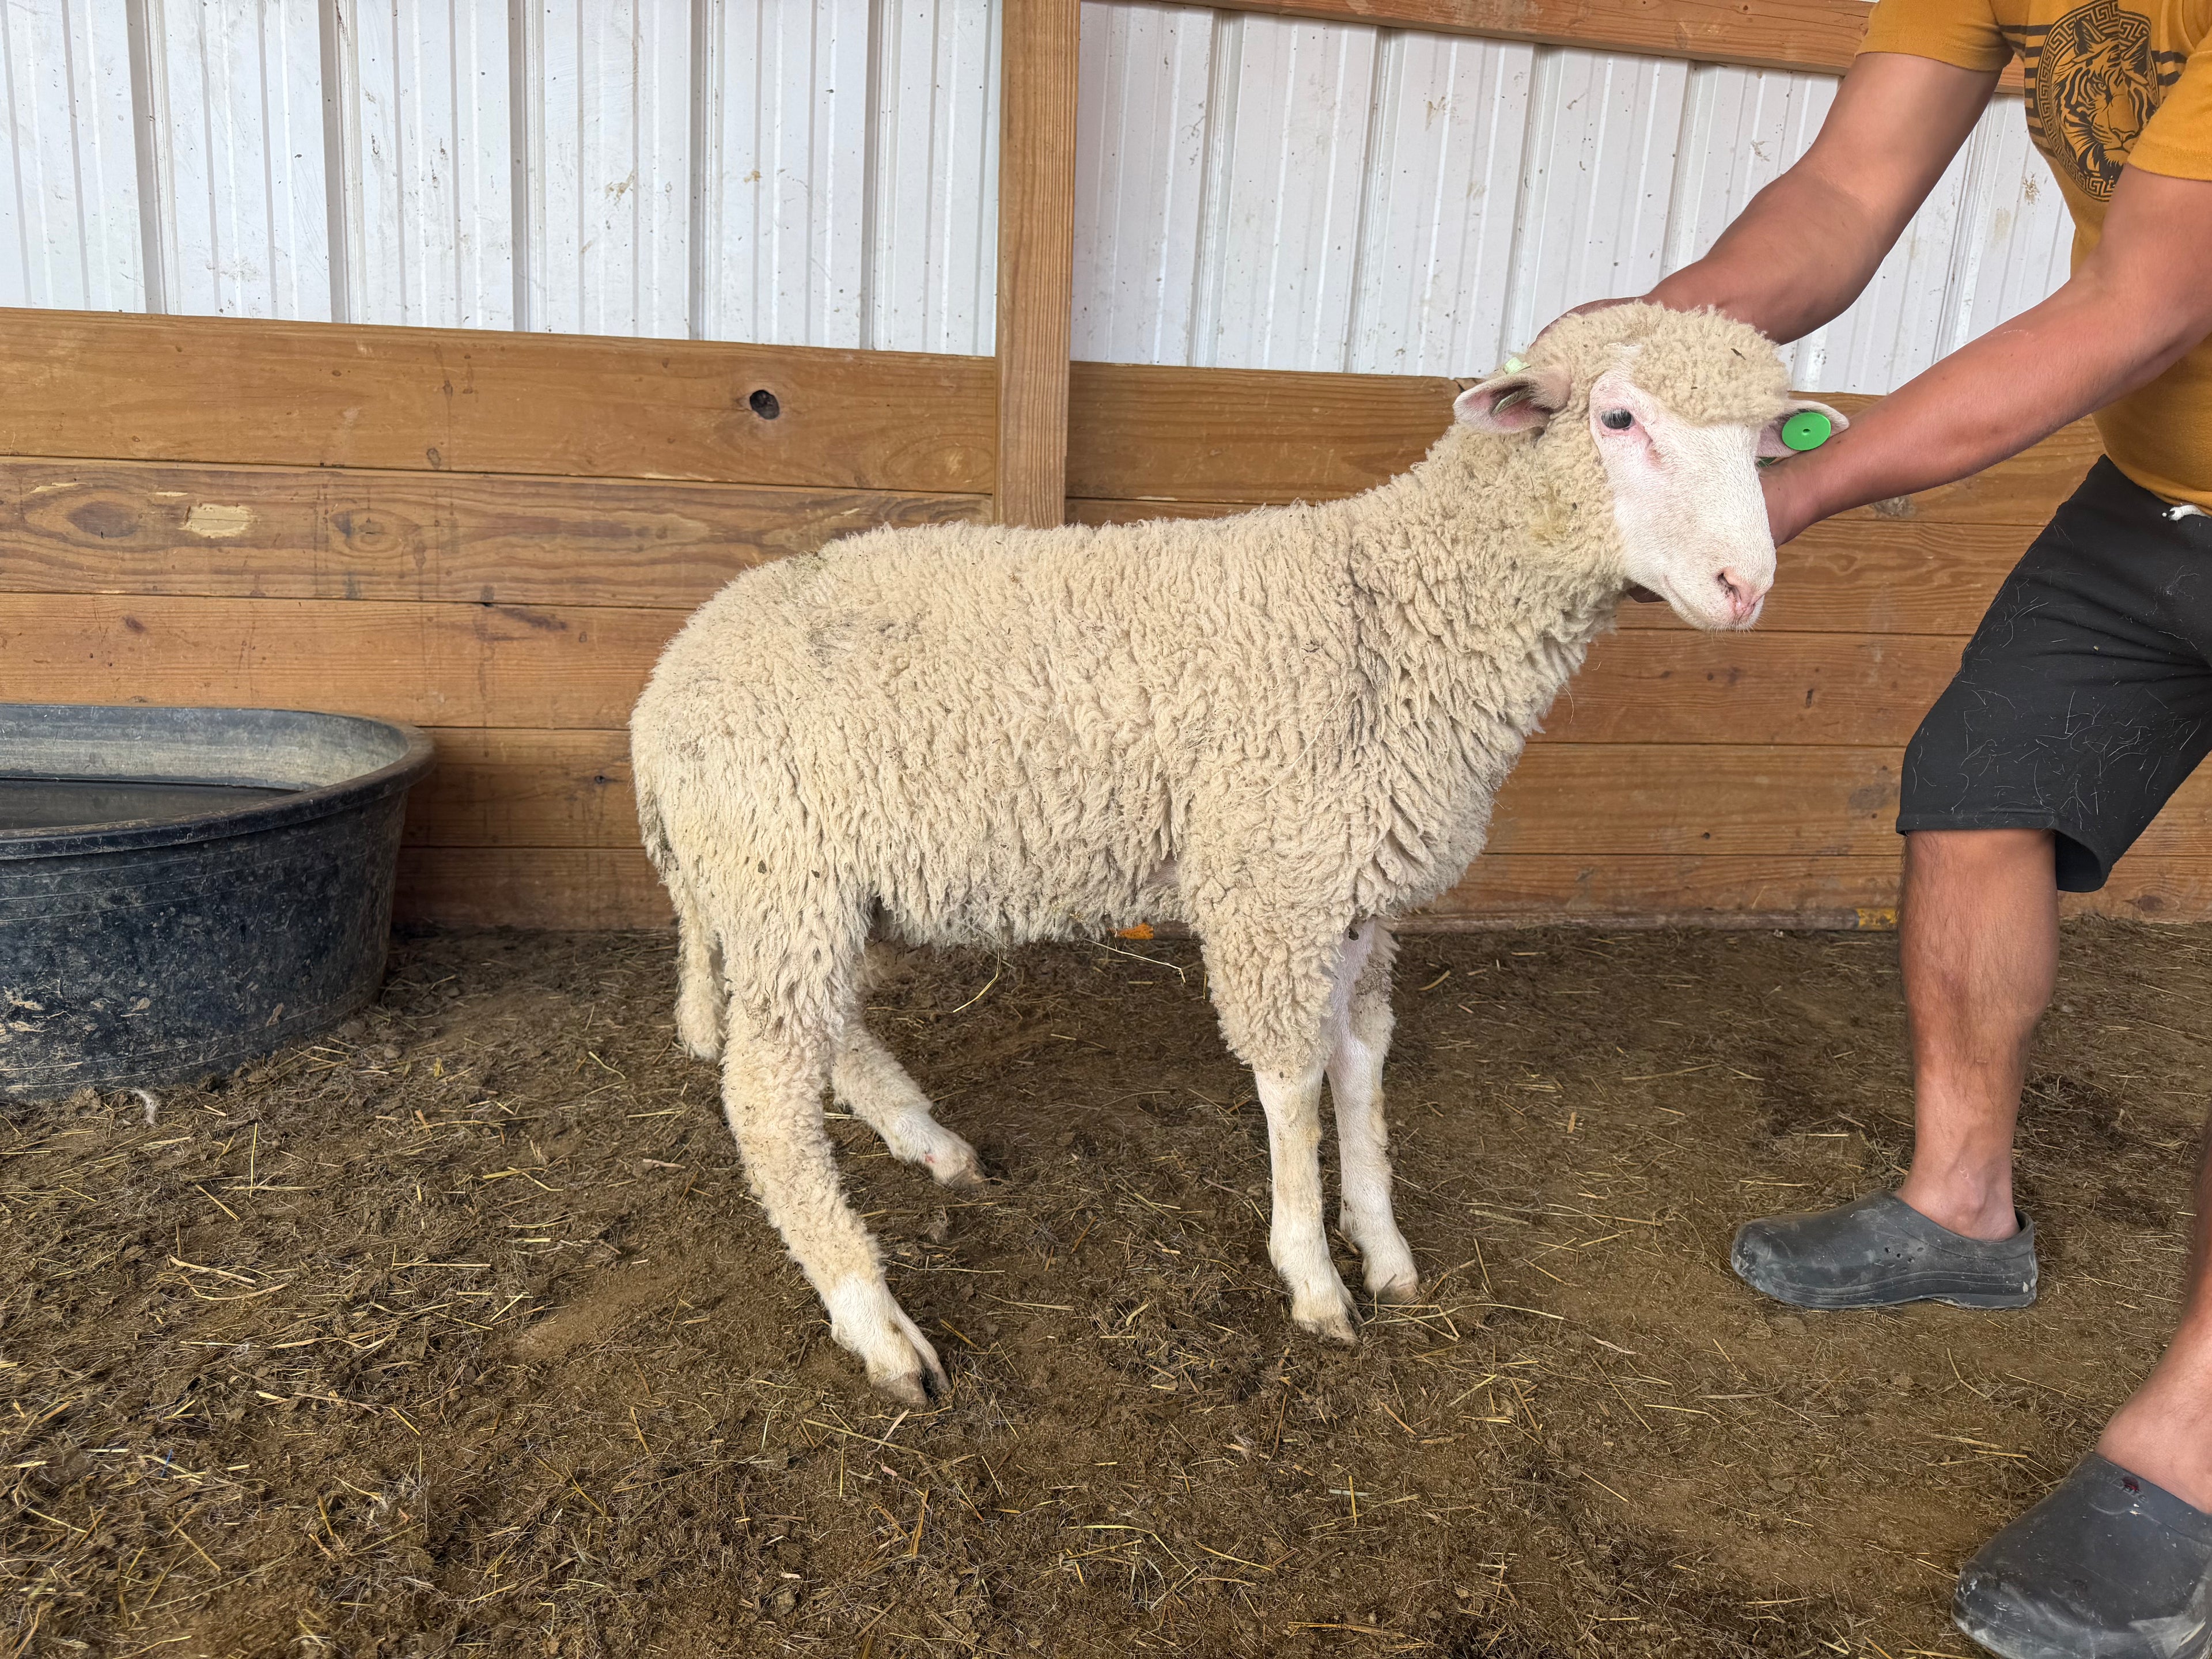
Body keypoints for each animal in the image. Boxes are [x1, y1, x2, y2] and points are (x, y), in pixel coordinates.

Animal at [630, 303, 1844, 1405]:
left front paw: (1385, 1248)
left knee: (823, 1036)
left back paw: (928, 1141)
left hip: (802, 895)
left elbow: (1361, 1064)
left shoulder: (1357, 894)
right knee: (766, 1099)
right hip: (782, 872)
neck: (1399, 611)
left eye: (1764, 446)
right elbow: (1292, 1084)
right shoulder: (1276, 880)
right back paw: (875, 1321)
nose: (1746, 589)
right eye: (1619, 417)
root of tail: (660, 694)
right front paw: (1312, 1277)